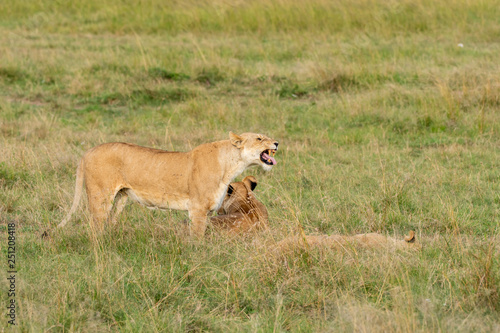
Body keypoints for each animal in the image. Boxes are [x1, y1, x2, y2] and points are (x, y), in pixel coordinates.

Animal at [58, 131, 280, 237]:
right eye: (259, 138)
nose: (277, 143)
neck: (232, 164)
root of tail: (88, 151)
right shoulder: (197, 209)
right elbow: (197, 238)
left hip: (120, 197)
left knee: (108, 223)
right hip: (100, 196)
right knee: (94, 227)